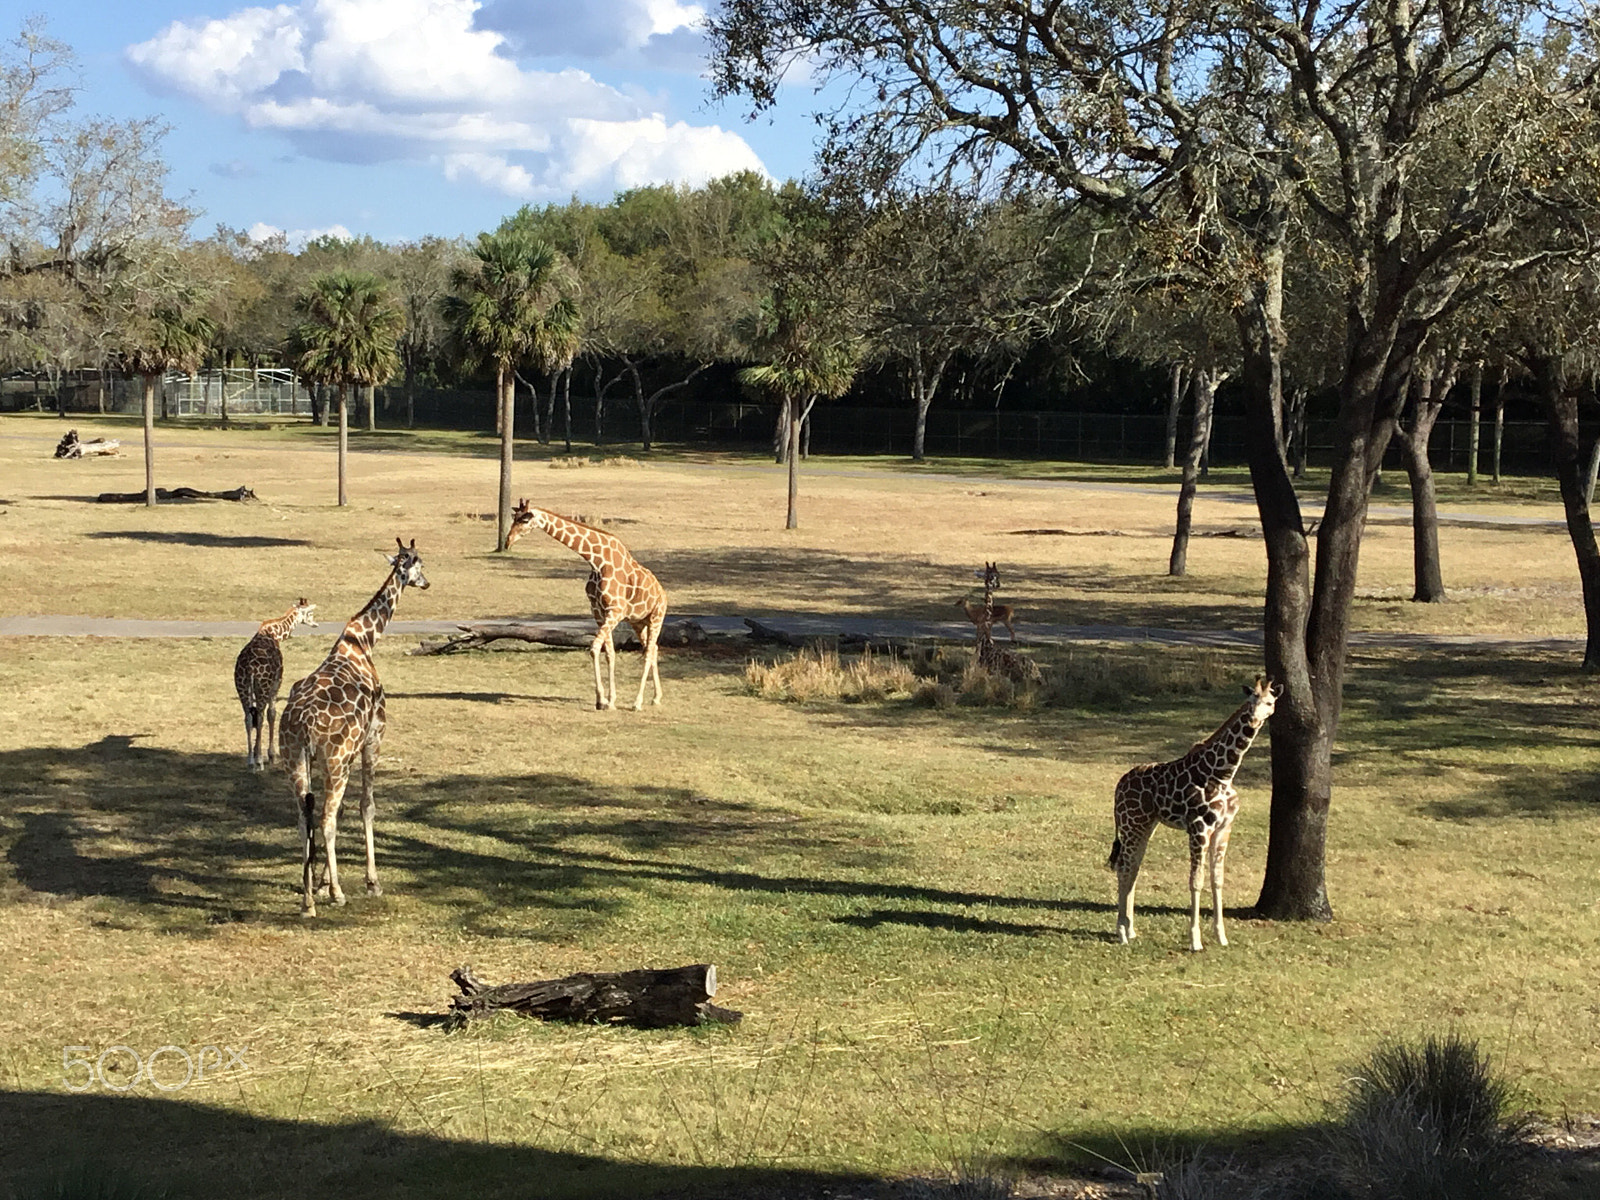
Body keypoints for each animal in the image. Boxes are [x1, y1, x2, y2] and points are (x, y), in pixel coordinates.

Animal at [233, 598, 318, 770]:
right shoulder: (277, 682)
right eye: (310, 613)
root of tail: (250, 668)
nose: (316, 624)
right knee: (259, 717)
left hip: (242, 687)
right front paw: (271, 755)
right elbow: (272, 713)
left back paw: (250, 759)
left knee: (248, 717)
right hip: (262, 687)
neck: (275, 634)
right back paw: (259, 761)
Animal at [279, 539, 429, 916]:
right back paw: (337, 894)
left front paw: (318, 883)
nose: (426, 583)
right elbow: (366, 806)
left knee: (304, 818)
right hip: (337, 761)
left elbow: (339, 810)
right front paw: (370, 882)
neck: (362, 642)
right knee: (326, 819)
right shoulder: (374, 738)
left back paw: (307, 900)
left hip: (295, 760)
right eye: (419, 564)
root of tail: (304, 724)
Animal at [505, 500, 667, 711]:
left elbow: (594, 648)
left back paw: (637, 702)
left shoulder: (615, 610)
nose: (507, 541)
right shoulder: (598, 612)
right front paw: (609, 700)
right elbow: (610, 653)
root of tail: (663, 594)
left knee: (648, 652)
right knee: (653, 648)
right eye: (514, 518)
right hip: (639, 622)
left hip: (656, 617)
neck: (596, 560)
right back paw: (656, 697)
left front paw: (602, 699)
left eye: (524, 520)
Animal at [1107, 675, 1282, 951]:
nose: (1254, 719)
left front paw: (1221, 936)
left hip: (1146, 825)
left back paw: (1130, 929)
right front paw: (1195, 940)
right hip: (1131, 823)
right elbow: (1196, 880)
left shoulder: (1223, 828)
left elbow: (1217, 879)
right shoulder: (1199, 828)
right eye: (1251, 699)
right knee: (1124, 867)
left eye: (1270, 702)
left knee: (1133, 866)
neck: (1223, 773)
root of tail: (1118, 786)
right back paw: (1122, 933)